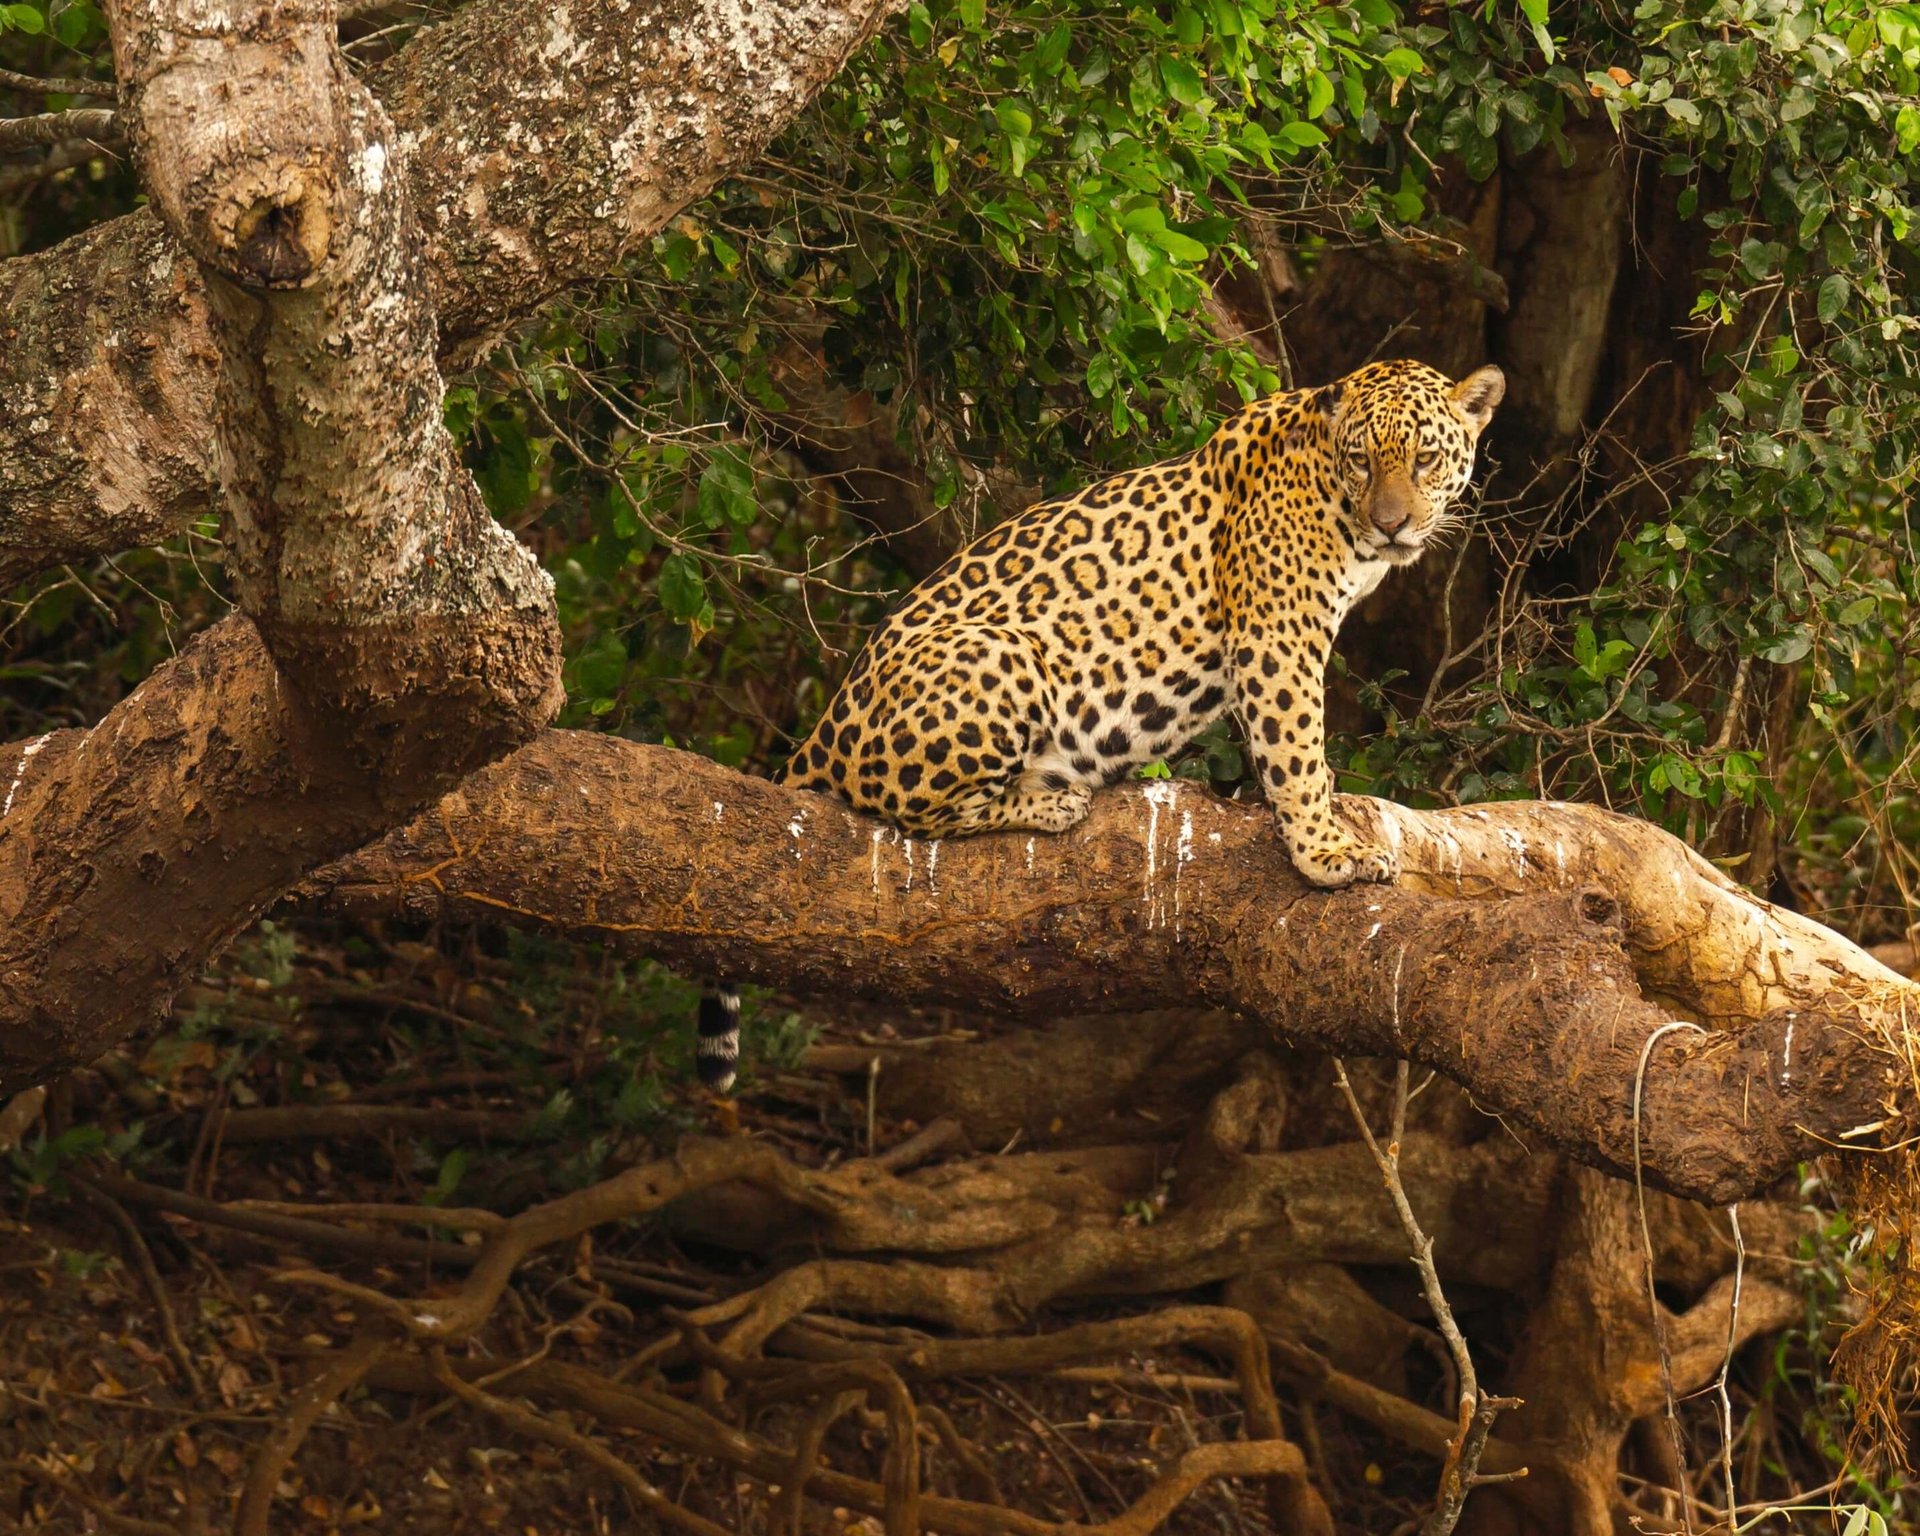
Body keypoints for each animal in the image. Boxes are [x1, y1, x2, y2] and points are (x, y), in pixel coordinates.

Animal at [694, 358, 1505, 1087]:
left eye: (1425, 458)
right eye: (1362, 460)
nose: (1393, 524)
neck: (1340, 512)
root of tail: (826, 723)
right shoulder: (1278, 637)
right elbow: (1299, 751)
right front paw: (1326, 853)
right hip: (1003, 652)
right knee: (909, 809)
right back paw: (1050, 799)